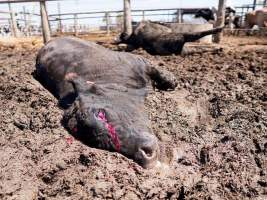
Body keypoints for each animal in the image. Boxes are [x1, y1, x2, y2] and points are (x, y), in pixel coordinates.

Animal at [35, 36, 178, 168]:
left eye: (100, 114)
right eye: (98, 142)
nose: (145, 154)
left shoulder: (137, 60)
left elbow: (156, 70)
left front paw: (172, 81)